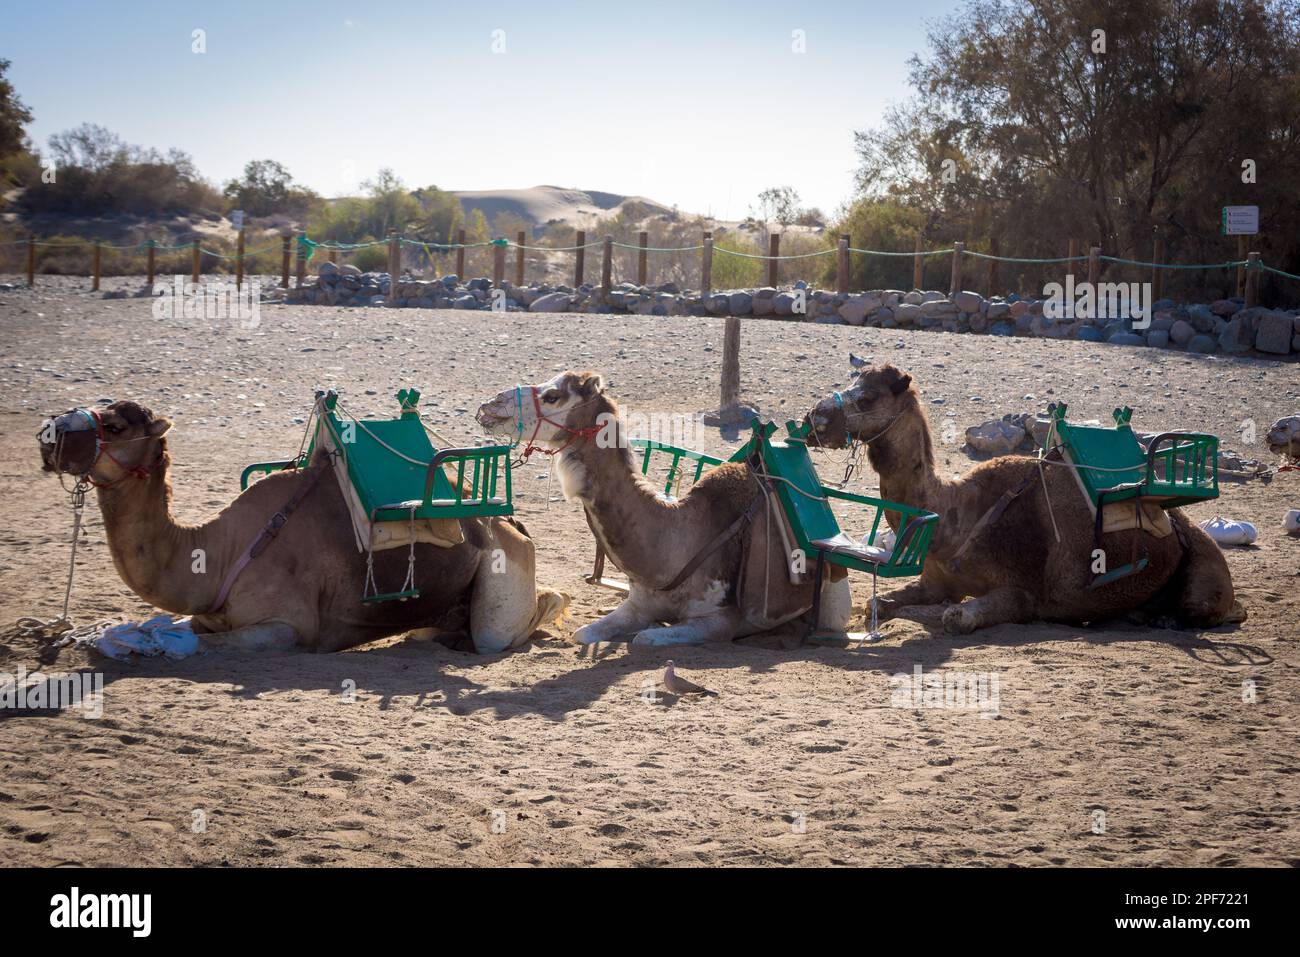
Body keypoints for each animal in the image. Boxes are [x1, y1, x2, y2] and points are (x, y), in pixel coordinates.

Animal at [34, 400, 564, 655]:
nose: (48, 435)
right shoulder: (211, 613)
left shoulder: (286, 628)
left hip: (503, 570)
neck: (218, 552)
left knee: (509, 625)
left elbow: (193, 643)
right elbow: (182, 629)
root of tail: (510, 521)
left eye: (116, 426)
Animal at [475, 369, 852, 647]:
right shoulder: (639, 603)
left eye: (553, 395)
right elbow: (583, 634)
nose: (491, 405)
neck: (678, 541)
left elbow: (644, 639)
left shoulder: (722, 620)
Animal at [800, 361, 1237, 631]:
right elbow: (878, 604)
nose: (813, 418)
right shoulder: (937, 581)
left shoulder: (1024, 592)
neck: (957, 518)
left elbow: (955, 617)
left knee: (1211, 609)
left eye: (867, 398)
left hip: (1204, 568)